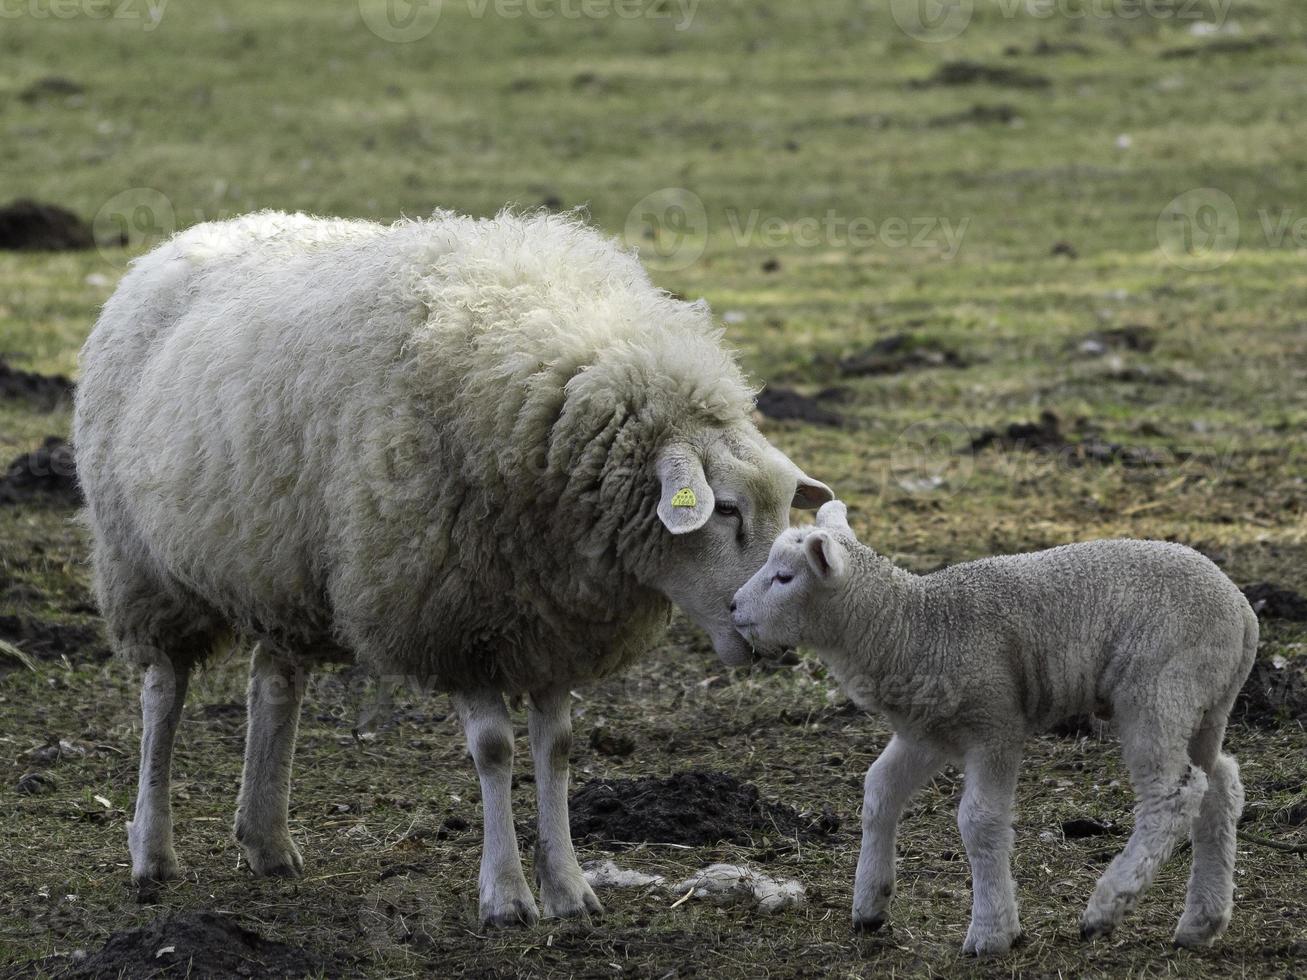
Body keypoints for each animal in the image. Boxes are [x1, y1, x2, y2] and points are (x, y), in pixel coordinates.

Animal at [71, 207, 831, 930]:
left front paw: (569, 889)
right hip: (142, 566)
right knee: (163, 695)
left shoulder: (556, 623)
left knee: (273, 685)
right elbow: (494, 751)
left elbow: (556, 750)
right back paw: (152, 852)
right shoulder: (452, 615)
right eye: (725, 509)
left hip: (277, 569)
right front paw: (506, 896)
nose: (769, 636)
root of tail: (185, 239)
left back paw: (266, 841)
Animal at [737, 501, 1254, 956]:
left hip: (1158, 690)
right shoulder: (928, 733)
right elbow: (879, 791)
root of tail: (1243, 612)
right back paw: (1202, 921)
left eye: (784, 578)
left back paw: (1107, 906)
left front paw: (991, 933)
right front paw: (869, 904)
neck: (912, 626)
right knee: (1220, 785)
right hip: (1204, 704)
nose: (733, 609)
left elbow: (979, 820)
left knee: (1174, 795)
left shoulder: (995, 724)